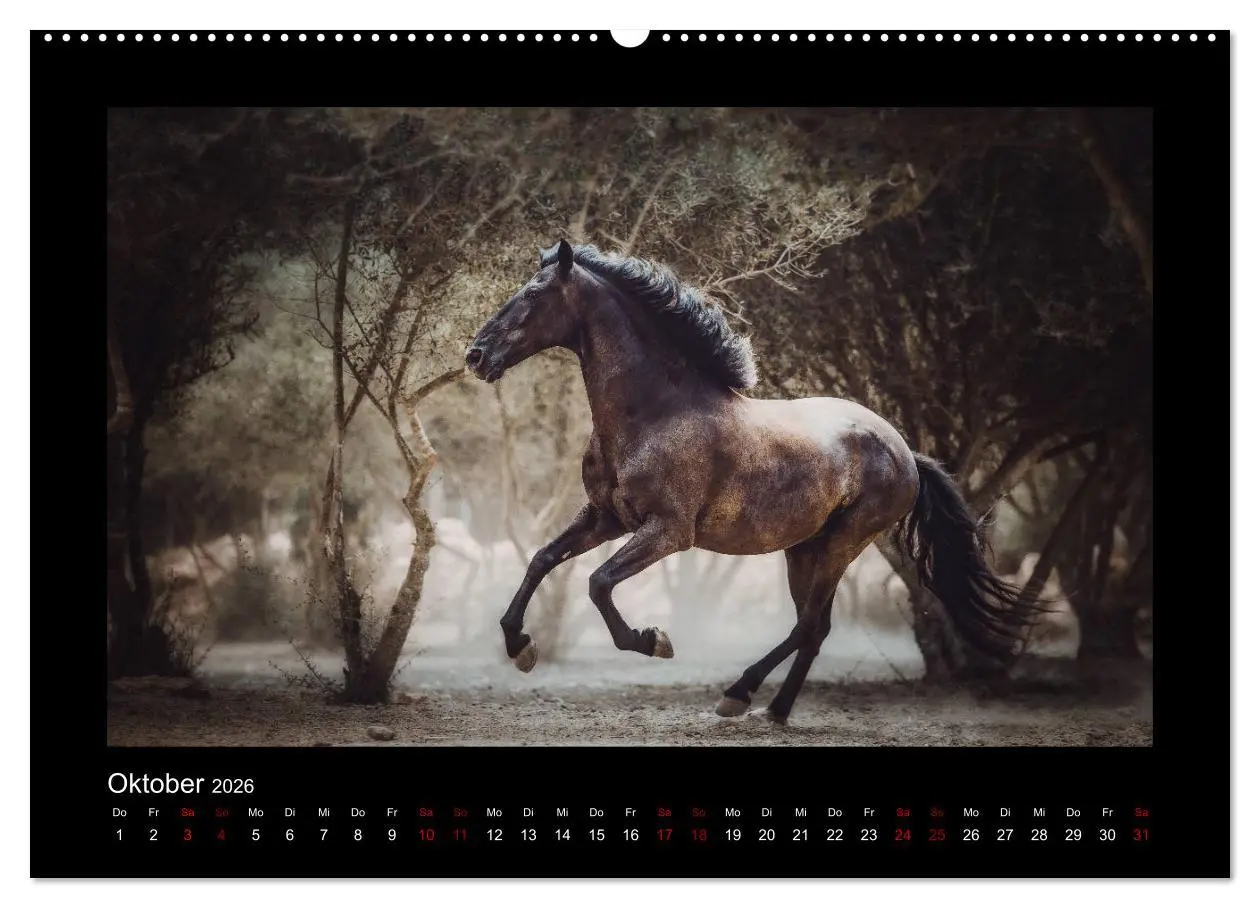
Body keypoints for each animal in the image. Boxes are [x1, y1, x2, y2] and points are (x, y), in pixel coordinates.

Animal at [464, 239, 1035, 724]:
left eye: (533, 294)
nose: (475, 356)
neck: (655, 412)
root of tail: (905, 452)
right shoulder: (604, 517)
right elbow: (542, 559)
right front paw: (520, 647)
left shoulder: (668, 532)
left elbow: (598, 582)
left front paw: (653, 640)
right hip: (805, 548)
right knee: (816, 629)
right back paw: (773, 710)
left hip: (842, 544)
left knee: (808, 626)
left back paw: (739, 693)